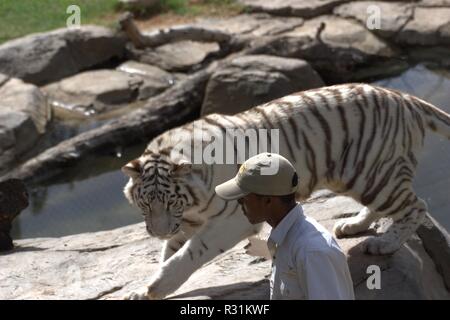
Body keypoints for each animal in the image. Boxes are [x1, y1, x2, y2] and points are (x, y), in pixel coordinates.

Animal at [122, 83, 450, 300]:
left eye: (170, 202)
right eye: (145, 205)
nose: (157, 231)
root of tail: (404, 98)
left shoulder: (232, 220)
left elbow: (186, 256)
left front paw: (154, 288)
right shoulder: (186, 223)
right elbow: (169, 254)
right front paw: (143, 290)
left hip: (372, 174)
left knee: (416, 206)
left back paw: (384, 244)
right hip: (361, 177)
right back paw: (352, 224)